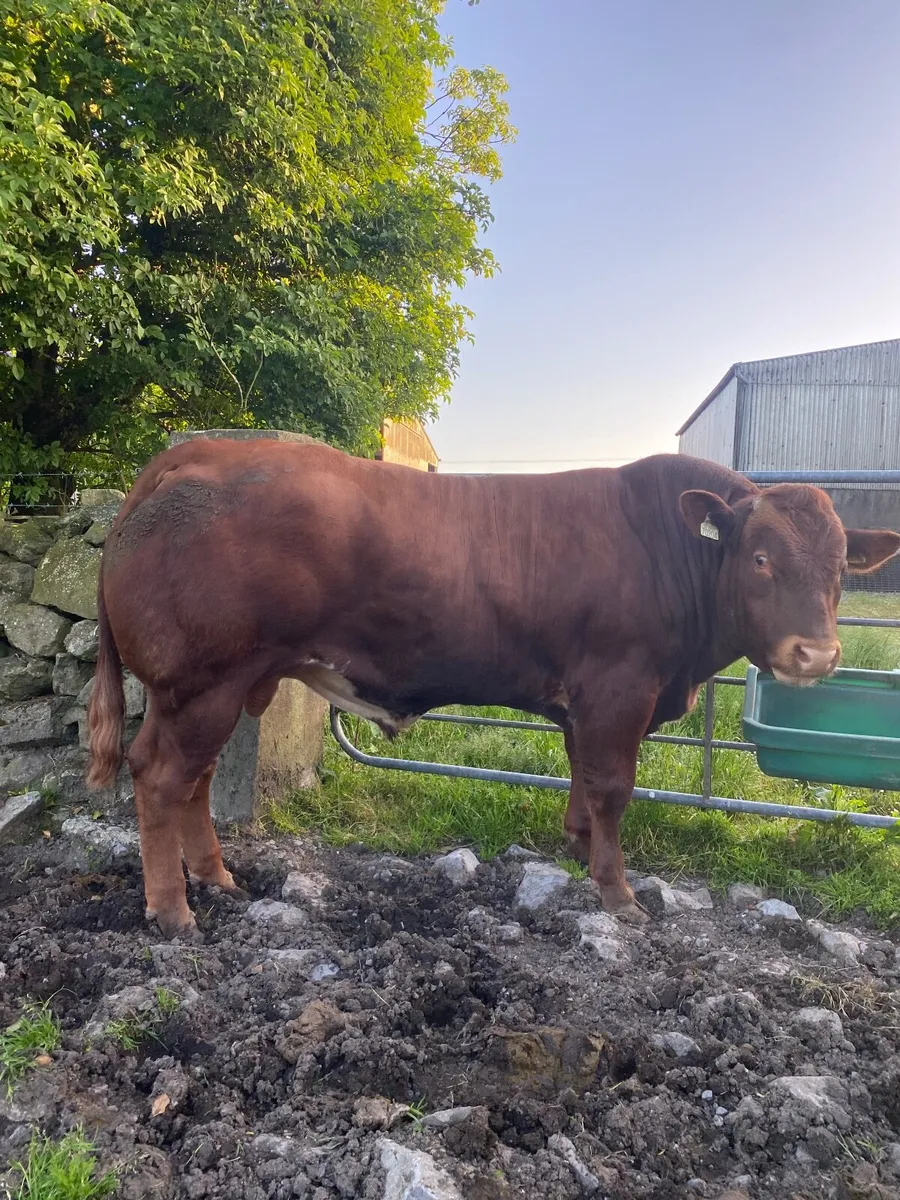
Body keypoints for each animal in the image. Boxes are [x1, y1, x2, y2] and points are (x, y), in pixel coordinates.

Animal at [86, 440, 900, 938]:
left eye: (840, 568)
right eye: (760, 558)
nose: (816, 652)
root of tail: (196, 452)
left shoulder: (585, 700)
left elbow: (582, 775)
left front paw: (578, 847)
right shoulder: (619, 686)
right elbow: (612, 786)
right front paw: (618, 892)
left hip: (223, 687)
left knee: (194, 780)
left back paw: (217, 877)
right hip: (201, 683)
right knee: (160, 777)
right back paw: (172, 908)